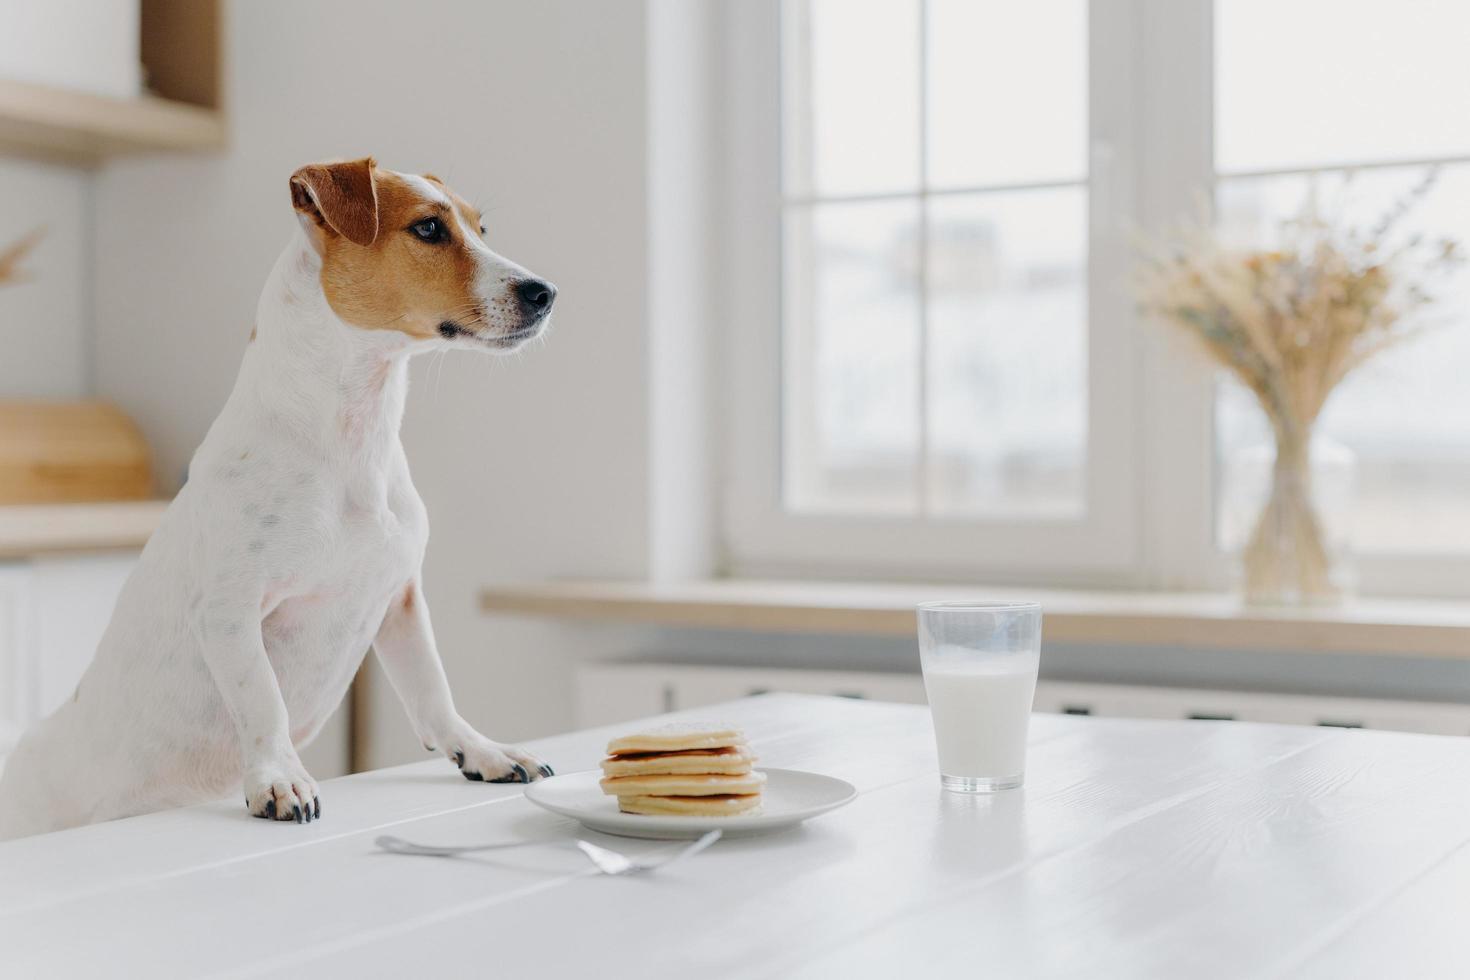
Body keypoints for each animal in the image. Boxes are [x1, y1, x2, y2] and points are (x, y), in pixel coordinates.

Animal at [0, 157, 555, 840]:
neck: (351, 438)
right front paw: (278, 778)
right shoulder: (230, 612)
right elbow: (262, 700)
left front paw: (481, 751)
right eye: (428, 228)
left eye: (481, 227)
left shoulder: (399, 599)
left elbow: (432, 687)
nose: (545, 292)